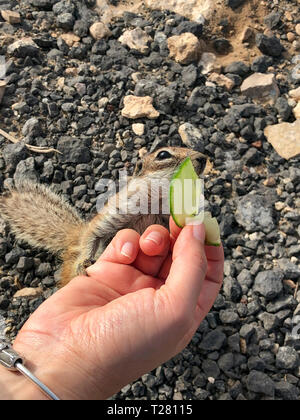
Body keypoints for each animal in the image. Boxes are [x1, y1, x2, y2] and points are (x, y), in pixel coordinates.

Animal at [0, 146, 206, 288]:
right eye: (163, 155)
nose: (204, 158)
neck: (156, 203)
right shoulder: (115, 212)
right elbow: (93, 236)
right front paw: (82, 266)